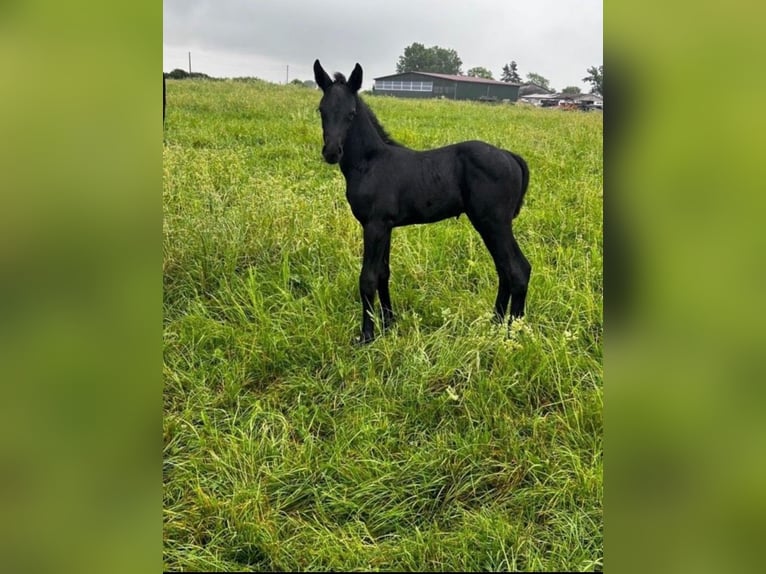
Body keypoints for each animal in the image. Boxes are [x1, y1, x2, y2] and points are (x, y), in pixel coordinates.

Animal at [316, 60, 532, 344]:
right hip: (489, 224)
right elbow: (384, 273)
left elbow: (368, 278)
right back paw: (494, 324)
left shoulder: (374, 225)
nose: (331, 152)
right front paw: (389, 324)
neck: (370, 162)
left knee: (518, 270)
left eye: (351, 113)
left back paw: (510, 334)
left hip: (494, 222)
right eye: (321, 110)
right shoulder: (385, 226)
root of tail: (510, 156)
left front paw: (367, 336)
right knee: (504, 269)